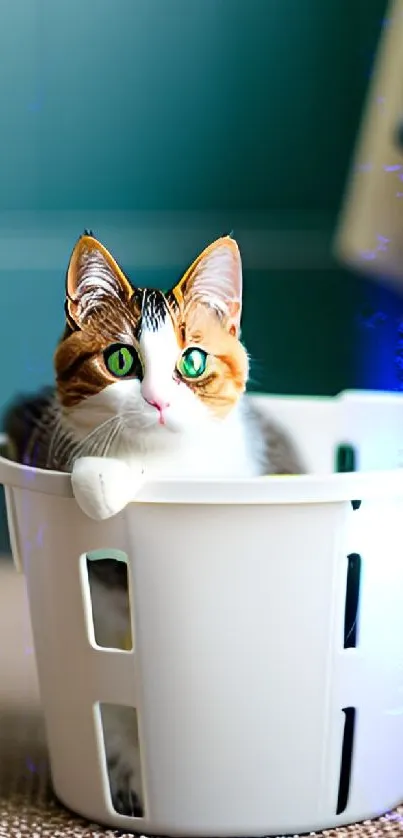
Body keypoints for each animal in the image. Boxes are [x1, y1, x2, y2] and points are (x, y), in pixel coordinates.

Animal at [3, 231, 304, 820]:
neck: (159, 461)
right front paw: (100, 482)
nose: (159, 400)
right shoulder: (41, 438)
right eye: (120, 359)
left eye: (193, 361)